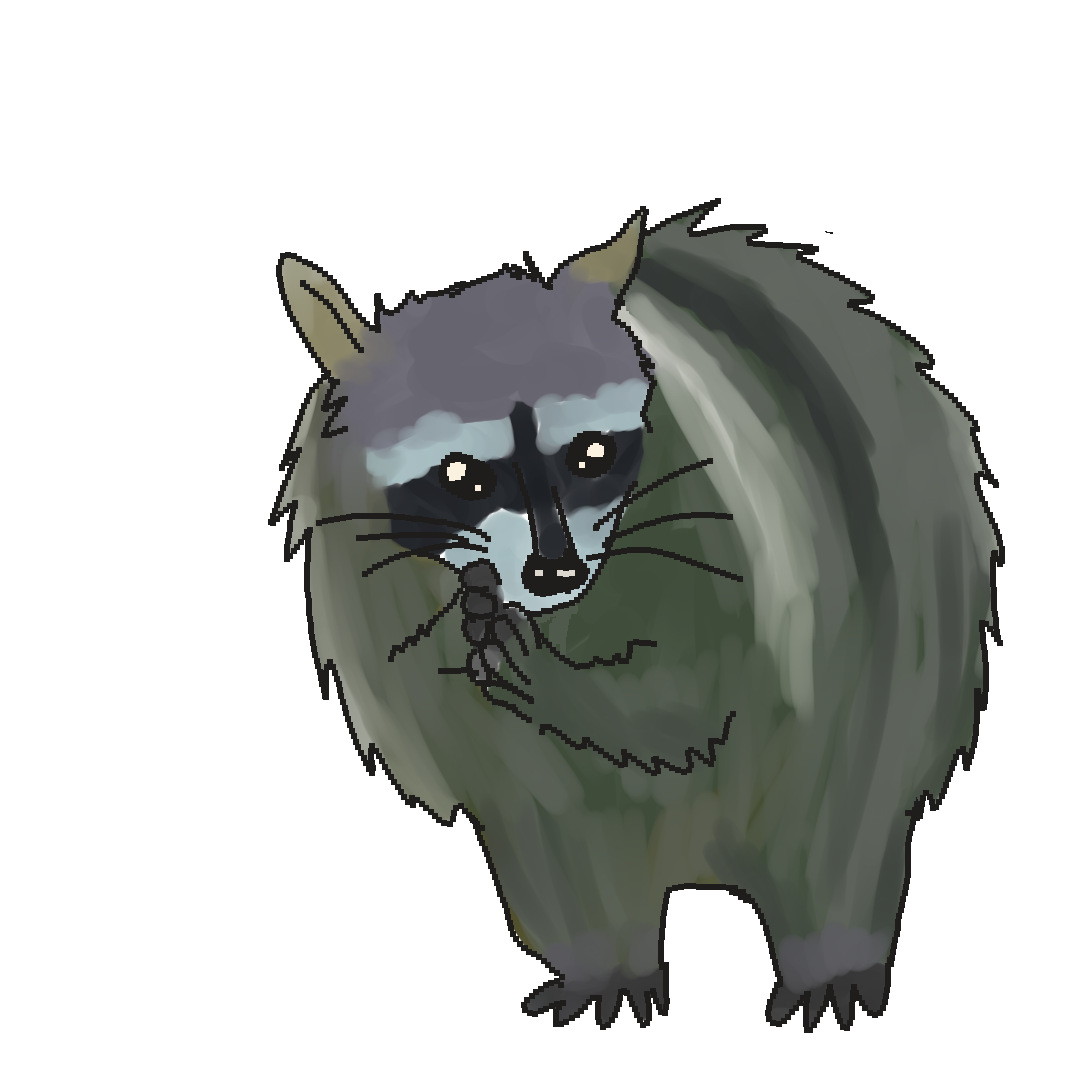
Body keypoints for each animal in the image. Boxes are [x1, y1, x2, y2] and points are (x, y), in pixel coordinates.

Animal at [271, 202, 1001, 1031]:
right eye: (460, 472)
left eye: (589, 454)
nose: (554, 573)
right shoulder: (377, 590)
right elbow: (497, 751)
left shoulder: (728, 509)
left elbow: (692, 692)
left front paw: (562, 682)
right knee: (563, 843)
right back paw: (607, 963)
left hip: (904, 629)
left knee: (839, 813)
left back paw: (830, 953)